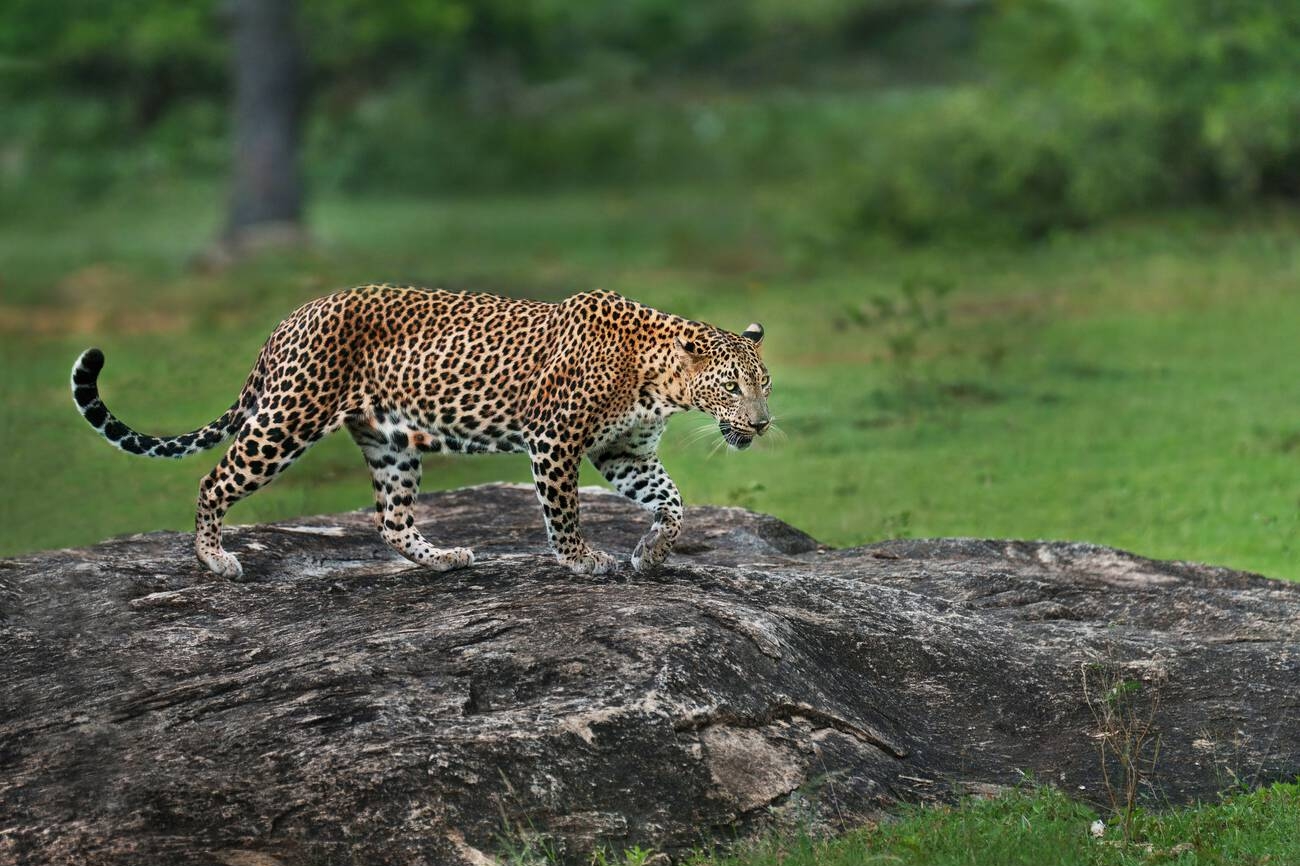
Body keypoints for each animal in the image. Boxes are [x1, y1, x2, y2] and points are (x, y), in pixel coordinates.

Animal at [70, 287, 772, 579]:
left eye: (765, 385)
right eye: (734, 387)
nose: (763, 424)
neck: (659, 383)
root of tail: (290, 318)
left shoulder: (623, 453)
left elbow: (674, 505)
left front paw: (651, 552)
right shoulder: (556, 442)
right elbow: (565, 513)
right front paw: (583, 561)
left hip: (388, 443)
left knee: (392, 520)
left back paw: (444, 558)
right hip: (288, 417)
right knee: (213, 478)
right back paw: (212, 558)